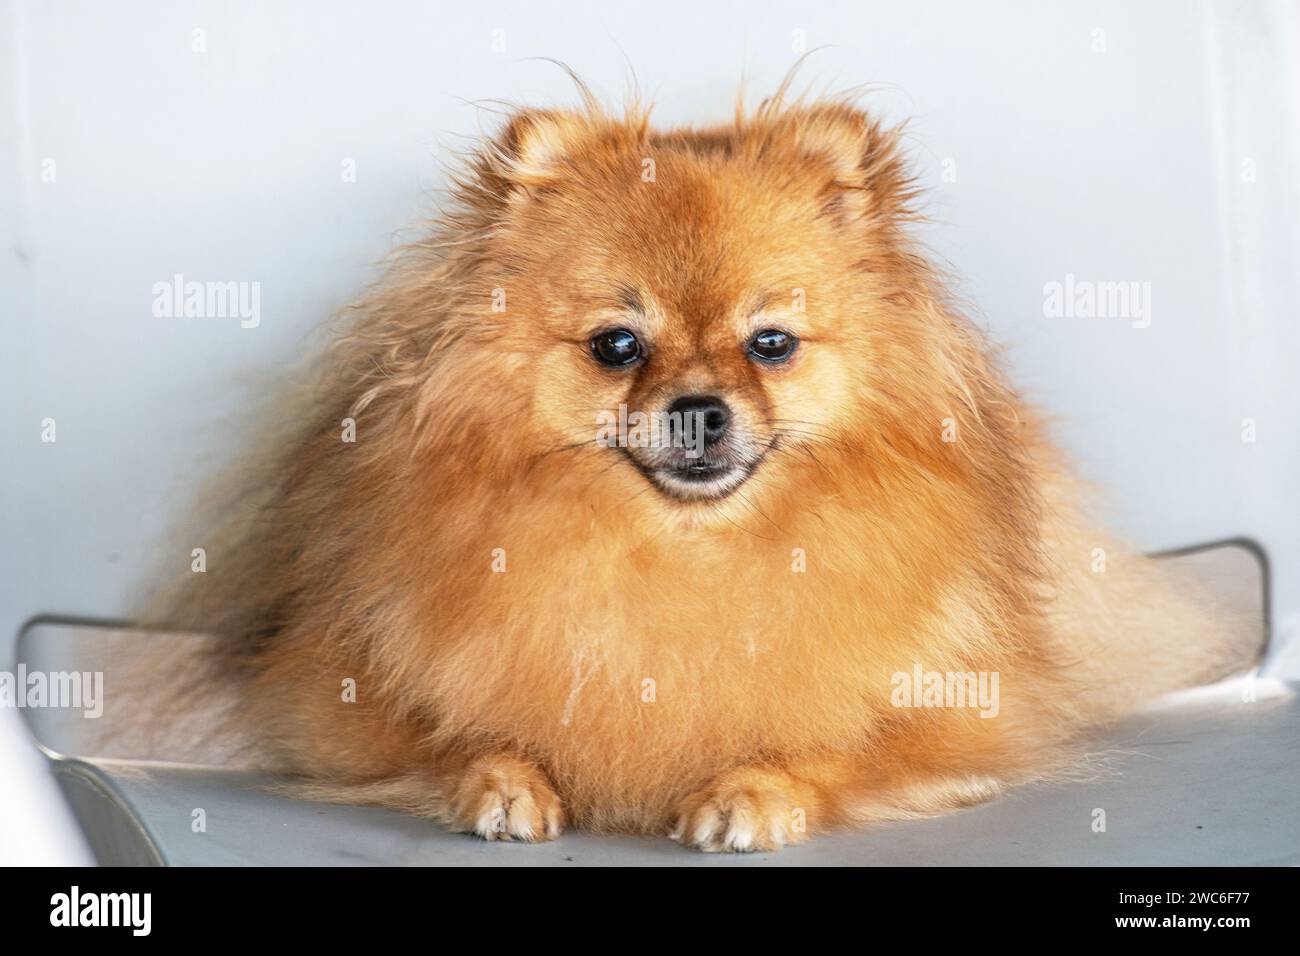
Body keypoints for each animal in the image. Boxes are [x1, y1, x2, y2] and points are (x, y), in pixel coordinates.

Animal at [149, 82, 1248, 853]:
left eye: (770, 344)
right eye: (617, 345)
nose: (698, 409)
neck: (684, 554)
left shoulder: (961, 718)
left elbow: (830, 745)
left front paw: (752, 789)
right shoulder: (346, 705)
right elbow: (461, 737)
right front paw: (505, 781)